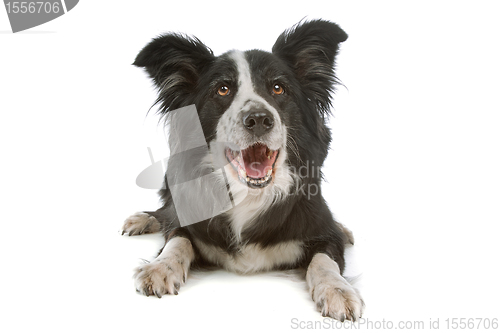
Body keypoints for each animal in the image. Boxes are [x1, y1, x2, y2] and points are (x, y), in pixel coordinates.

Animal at [121, 19, 364, 320]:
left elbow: (324, 260)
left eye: (278, 88)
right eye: (222, 89)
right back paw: (142, 219)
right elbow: (177, 239)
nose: (258, 119)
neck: (248, 194)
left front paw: (336, 290)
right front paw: (160, 267)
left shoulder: (321, 230)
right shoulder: (187, 222)